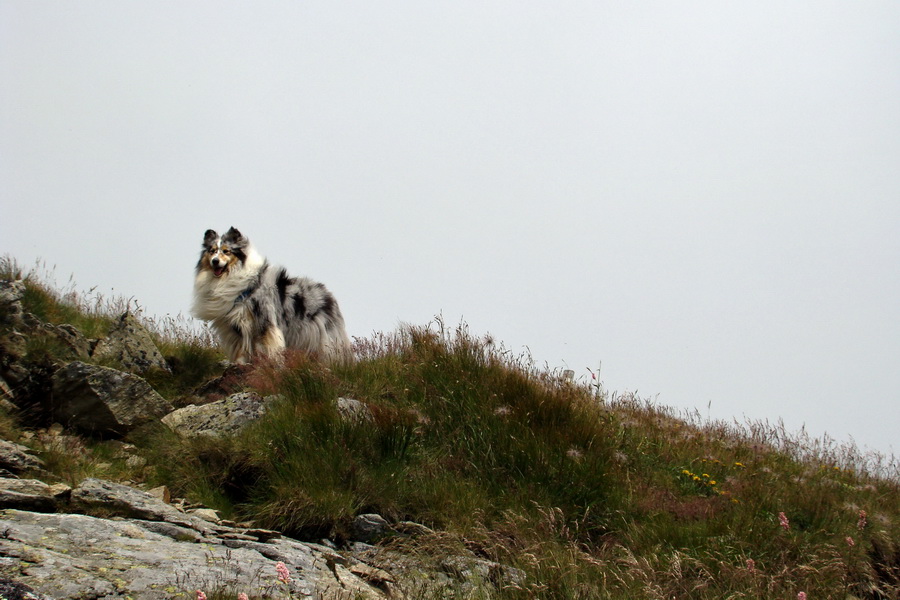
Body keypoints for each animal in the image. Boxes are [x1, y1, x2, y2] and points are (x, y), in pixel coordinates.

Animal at [192, 227, 354, 364]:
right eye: (212, 251)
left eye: (226, 251)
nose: (215, 261)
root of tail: (328, 294)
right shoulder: (236, 326)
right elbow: (242, 348)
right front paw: (239, 363)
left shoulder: (264, 322)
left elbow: (266, 347)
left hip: (323, 334)